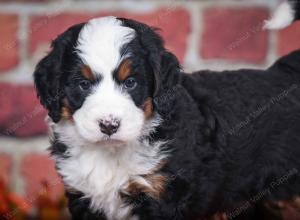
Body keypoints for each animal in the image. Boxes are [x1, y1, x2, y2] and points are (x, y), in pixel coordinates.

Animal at [34, 0, 300, 219]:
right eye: (83, 84)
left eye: (131, 82)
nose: (109, 125)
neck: (111, 154)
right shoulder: (83, 196)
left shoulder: (162, 195)